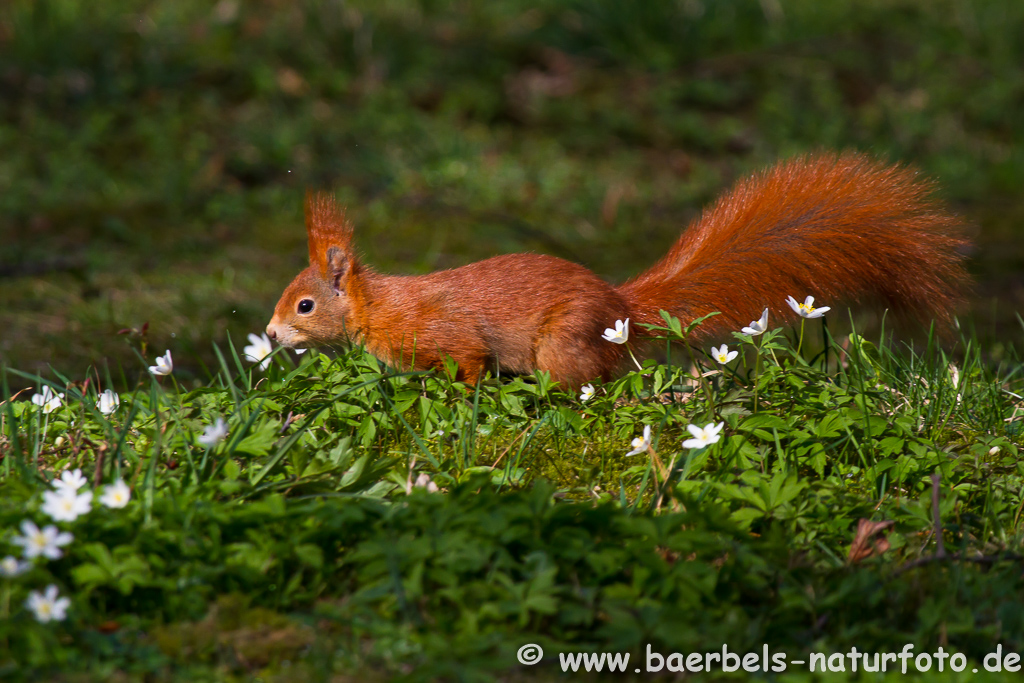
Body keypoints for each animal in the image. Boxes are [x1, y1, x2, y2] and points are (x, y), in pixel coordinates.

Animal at [264, 155, 966, 389]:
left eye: (303, 305)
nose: (269, 335)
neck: (379, 306)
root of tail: (621, 307)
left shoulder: (447, 337)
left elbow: (466, 366)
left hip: (562, 343)